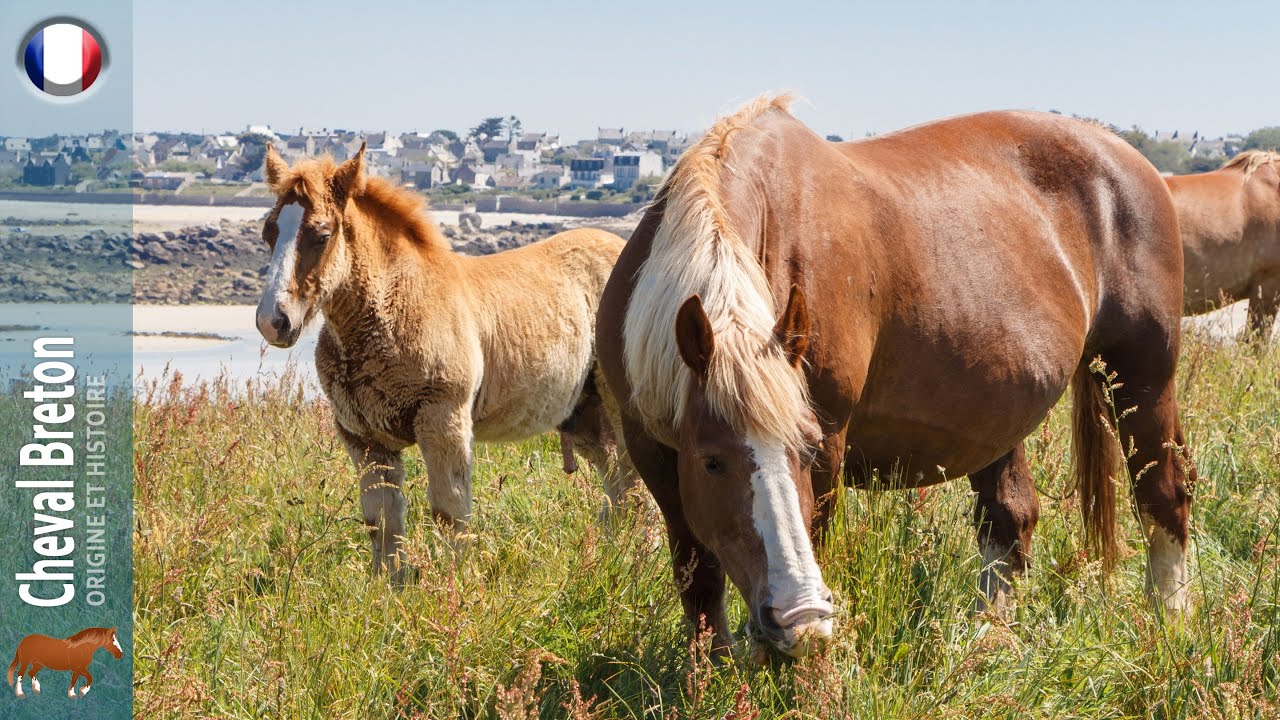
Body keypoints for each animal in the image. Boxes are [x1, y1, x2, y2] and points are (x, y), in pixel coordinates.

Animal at [256, 144, 637, 582]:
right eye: (268, 233)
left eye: (320, 235)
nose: (272, 320)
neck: (396, 304)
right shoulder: (361, 435)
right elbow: (382, 522)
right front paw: (389, 589)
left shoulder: (444, 419)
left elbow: (449, 512)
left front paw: (453, 586)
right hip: (585, 412)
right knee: (618, 480)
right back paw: (613, 556)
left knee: (634, 480)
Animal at [596, 96, 1195, 659]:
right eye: (712, 462)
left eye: (806, 449)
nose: (799, 617)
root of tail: (1128, 159)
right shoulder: (654, 451)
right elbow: (698, 577)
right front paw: (712, 671)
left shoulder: (829, 440)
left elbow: (813, 537)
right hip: (1000, 411)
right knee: (1010, 518)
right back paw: (990, 638)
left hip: (1143, 377)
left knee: (1163, 495)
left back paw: (1169, 623)